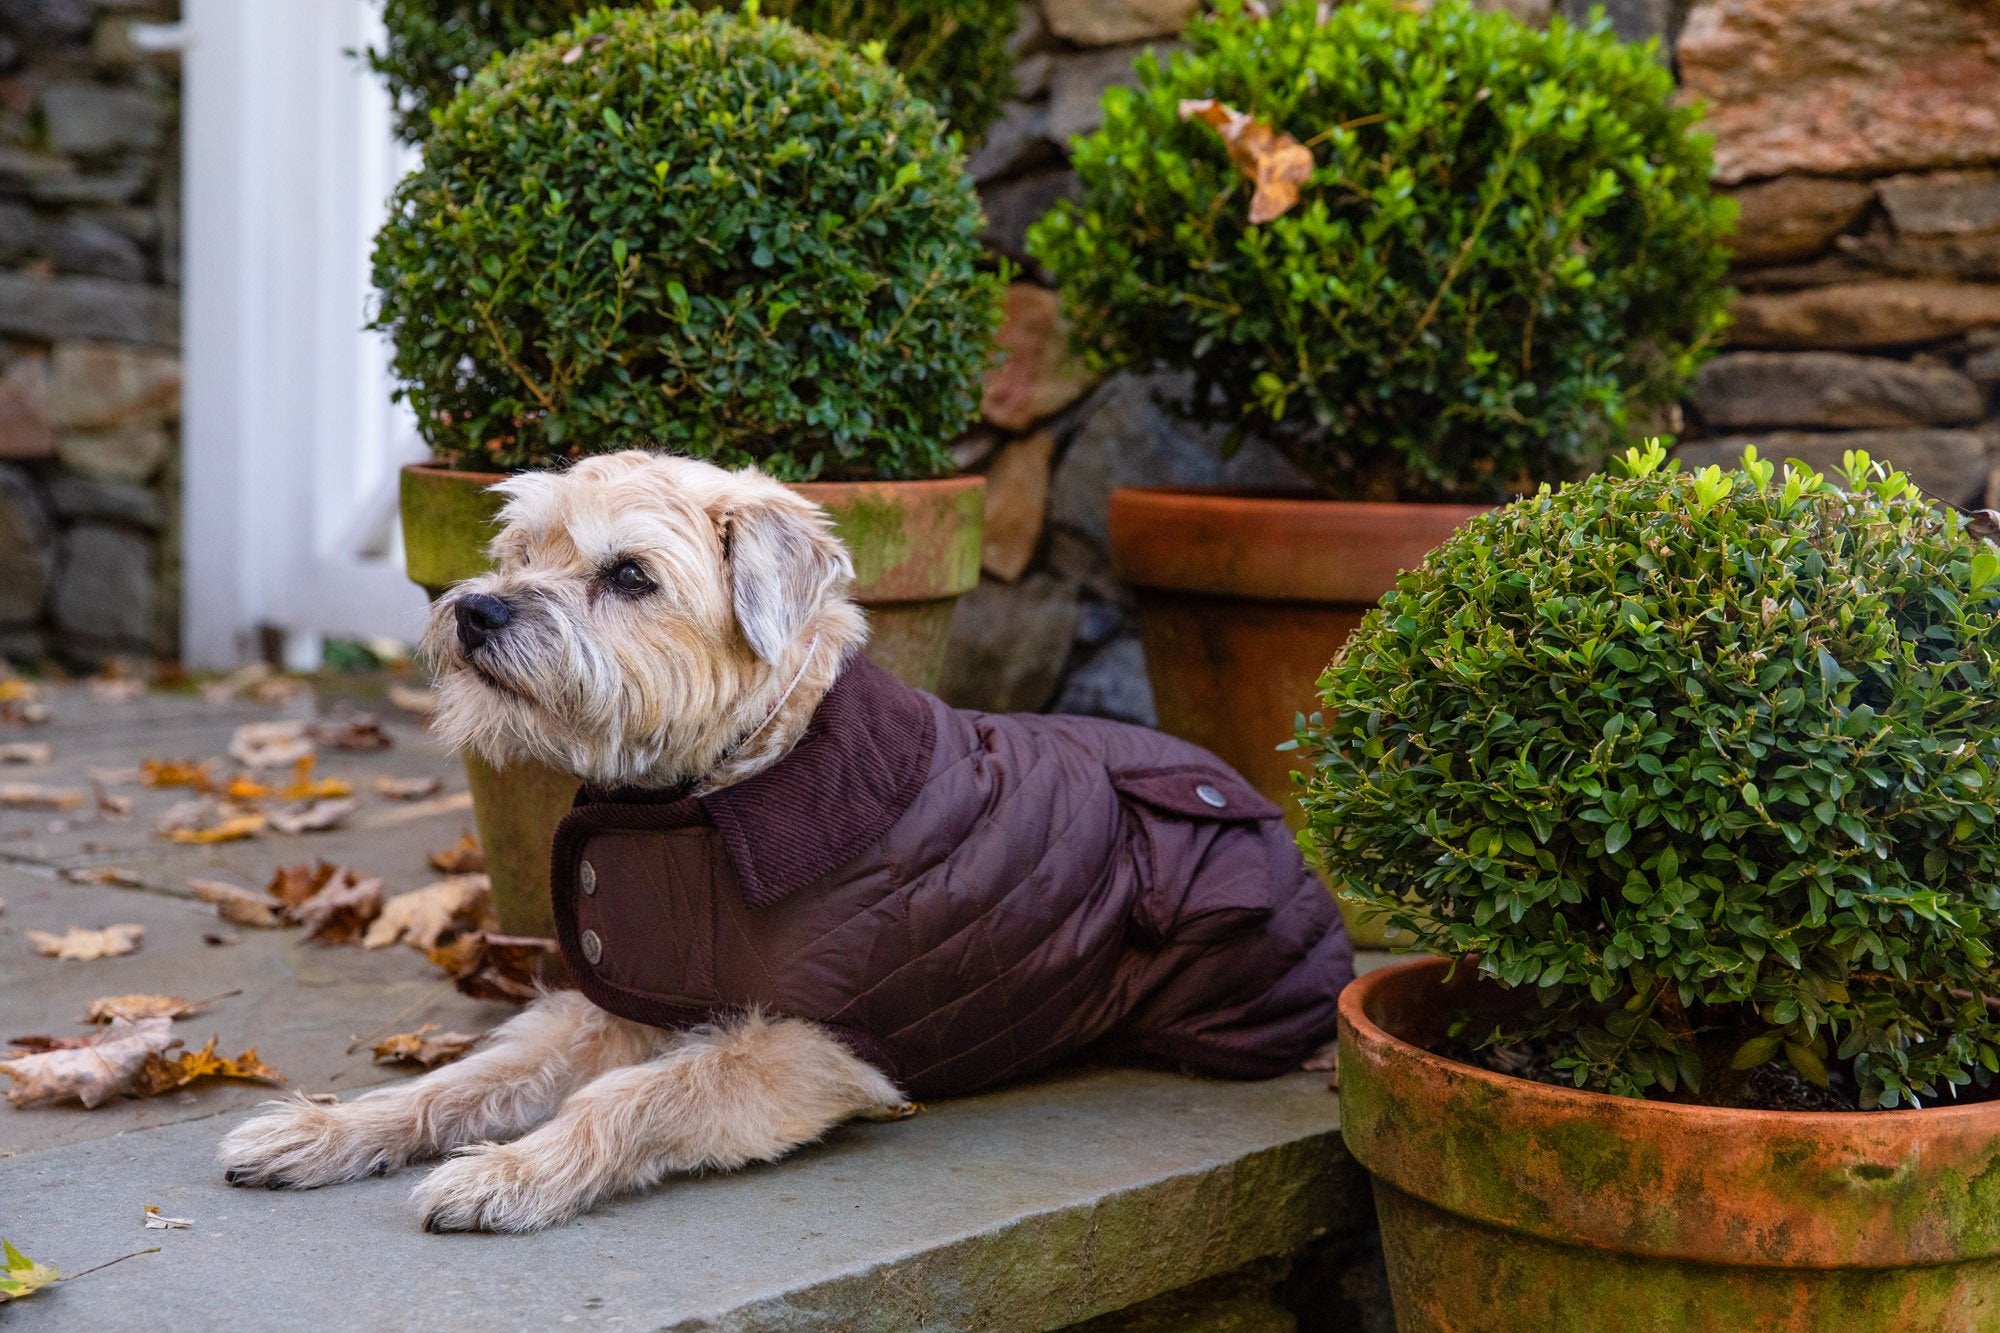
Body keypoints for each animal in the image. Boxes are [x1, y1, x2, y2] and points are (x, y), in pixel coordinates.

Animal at [219, 446, 1352, 1224]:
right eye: (521, 552)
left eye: (629, 575)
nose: (478, 613)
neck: (716, 787)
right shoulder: (619, 1008)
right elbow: (459, 1081)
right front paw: (332, 1126)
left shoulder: (808, 1051)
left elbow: (630, 1099)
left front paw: (511, 1169)